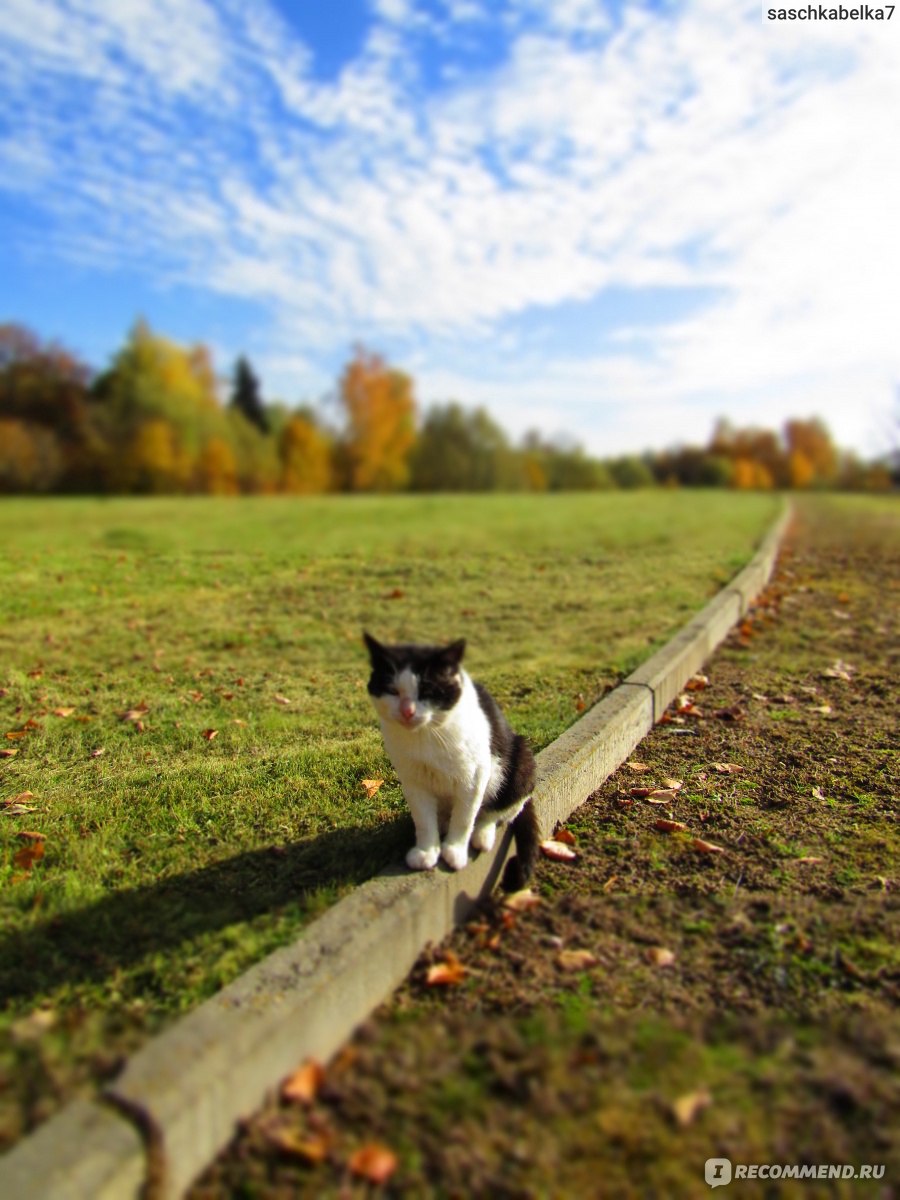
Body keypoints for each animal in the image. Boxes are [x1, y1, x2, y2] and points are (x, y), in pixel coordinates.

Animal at [362, 633, 540, 888]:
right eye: (392, 691)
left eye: (427, 691)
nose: (407, 711)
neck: (426, 735)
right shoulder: (413, 780)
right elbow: (423, 820)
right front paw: (426, 851)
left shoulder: (474, 777)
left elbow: (465, 818)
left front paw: (454, 852)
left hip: (521, 763)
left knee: (498, 812)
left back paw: (482, 834)